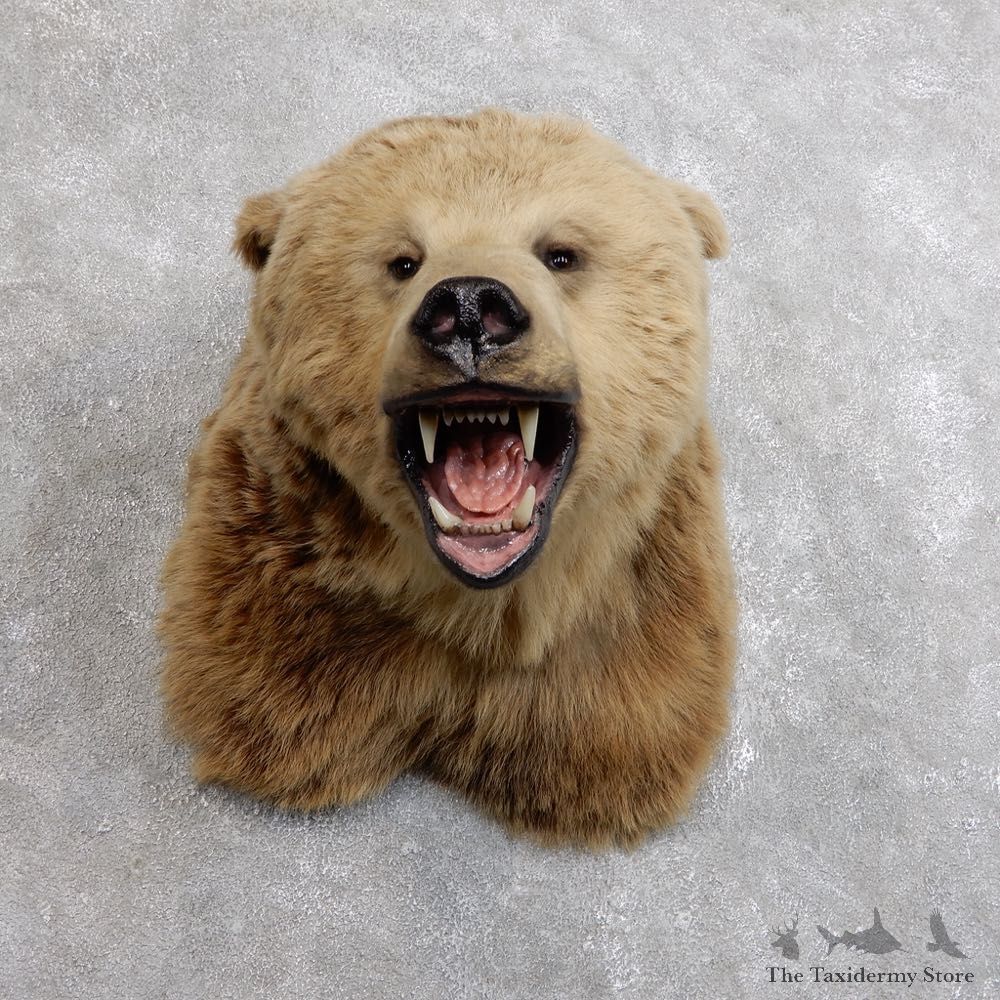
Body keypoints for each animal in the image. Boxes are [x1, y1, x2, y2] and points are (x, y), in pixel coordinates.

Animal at [158, 109, 737, 849]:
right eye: (404, 260)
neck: (484, 605)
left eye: (560, 253)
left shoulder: (633, 623)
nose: (468, 307)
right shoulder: (283, 582)